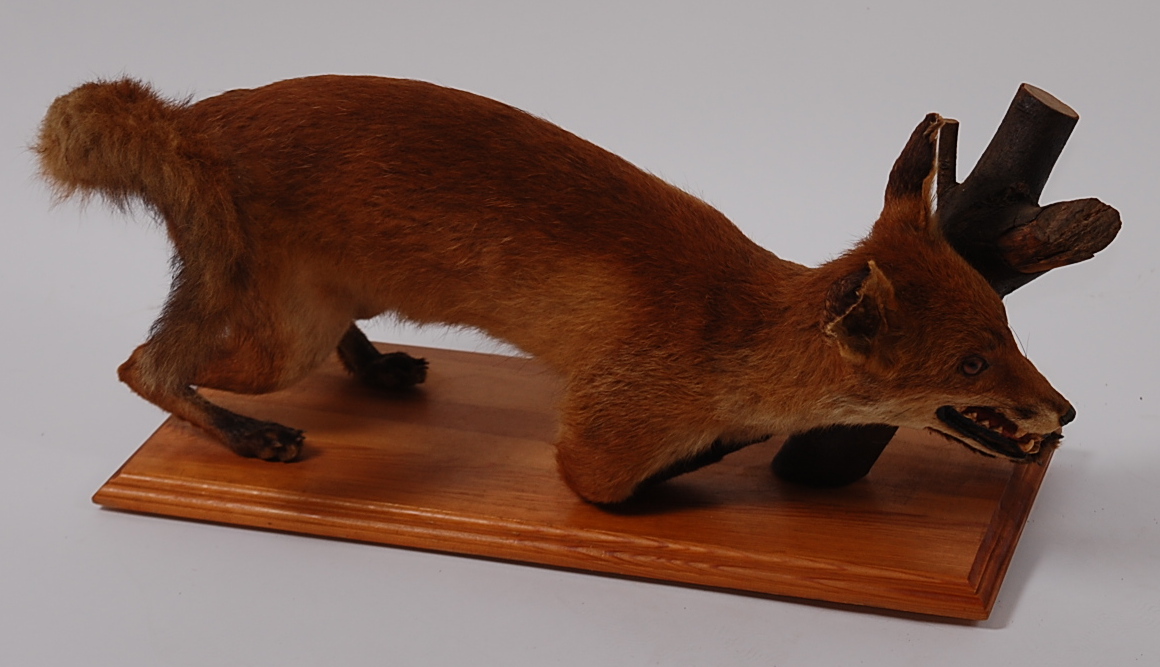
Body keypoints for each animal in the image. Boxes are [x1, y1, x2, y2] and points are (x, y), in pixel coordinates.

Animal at [38, 75, 1076, 503]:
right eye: (972, 361)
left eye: (1009, 323)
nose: (1064, 410)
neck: (732, 332)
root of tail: (192, 122)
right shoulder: (600, 438)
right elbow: (616, 481)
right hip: (275, 342)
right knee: (144, 365)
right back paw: (255, 434)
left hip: (332, 299)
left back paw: (382, 369)